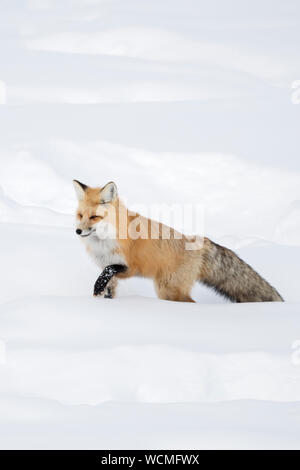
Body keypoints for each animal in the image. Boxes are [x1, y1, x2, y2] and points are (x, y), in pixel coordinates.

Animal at [73, 178, 284, 302]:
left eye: (94, 217)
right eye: (80, 215)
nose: (78, 231)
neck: (104, 243)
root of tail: (200, 241)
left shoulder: (129, 266)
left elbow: (109, 271)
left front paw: (97, 288)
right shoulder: (108, 267)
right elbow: (108, 287)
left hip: (168, 289)